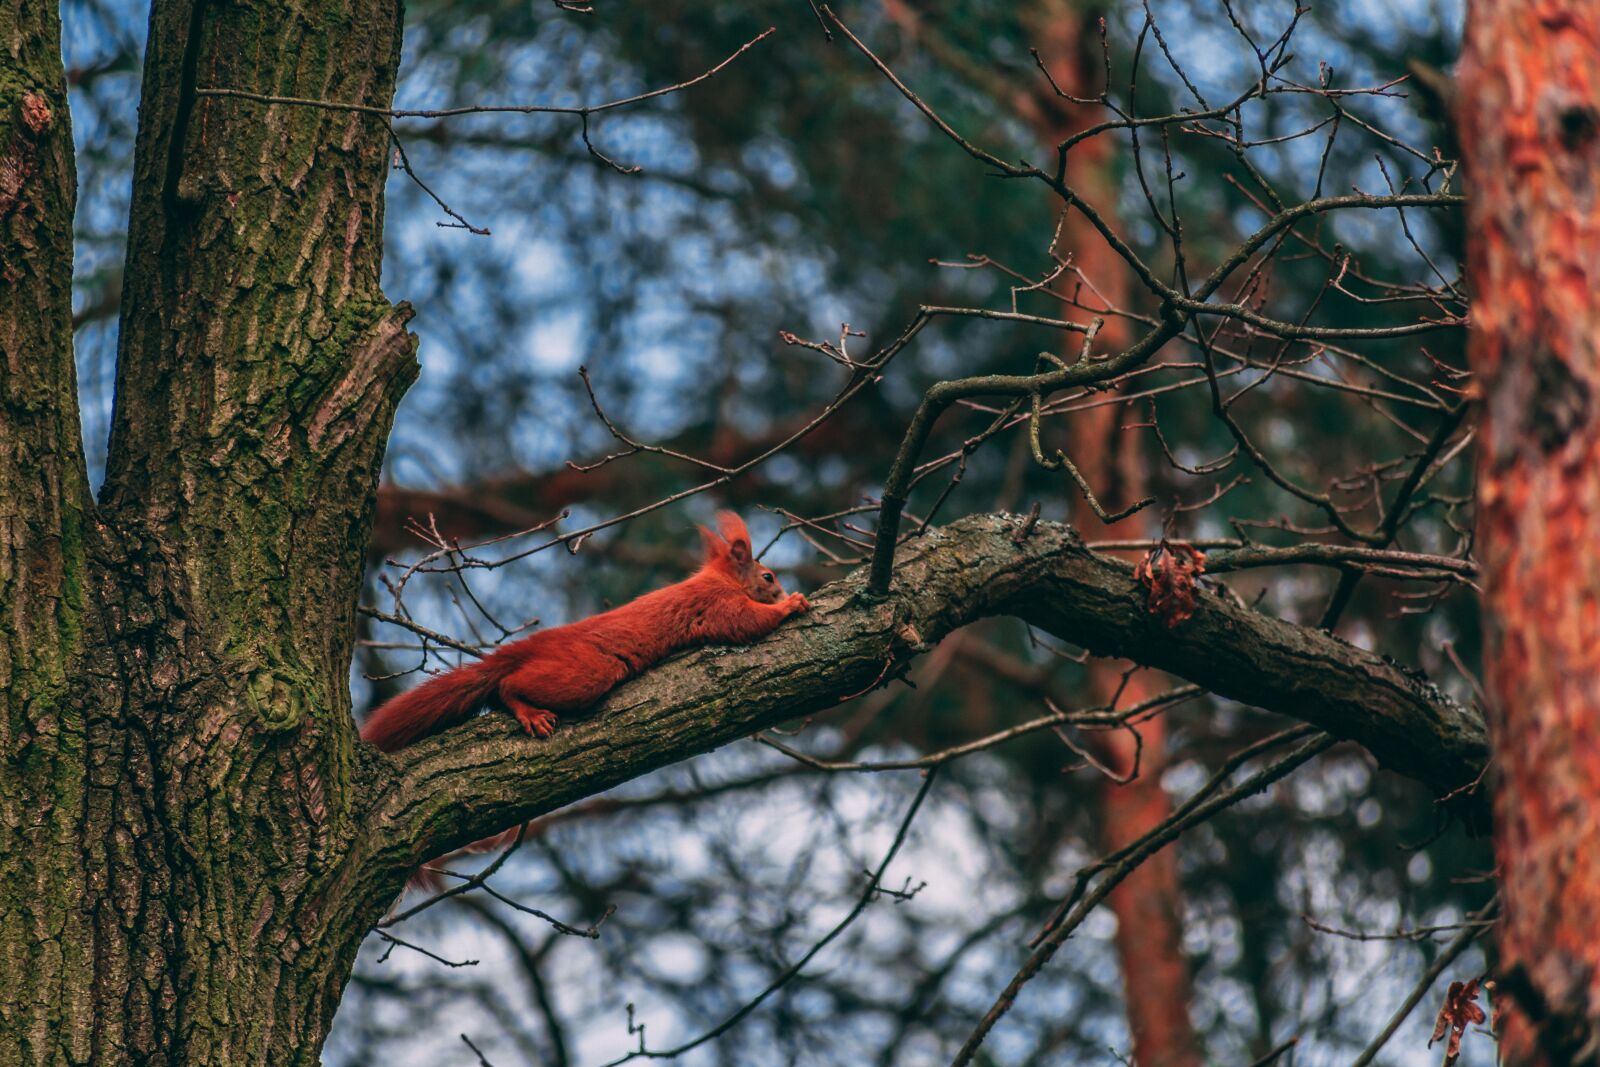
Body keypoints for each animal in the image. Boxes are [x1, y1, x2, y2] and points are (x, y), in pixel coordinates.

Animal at [360, 511, 810, 754]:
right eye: (768, 577)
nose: (782, 589)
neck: (721, 579)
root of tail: (532, 646)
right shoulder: (717, 605)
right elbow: (746, 623)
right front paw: (791, 604)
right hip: (584, 672)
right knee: (507, 686)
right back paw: (529, 712)